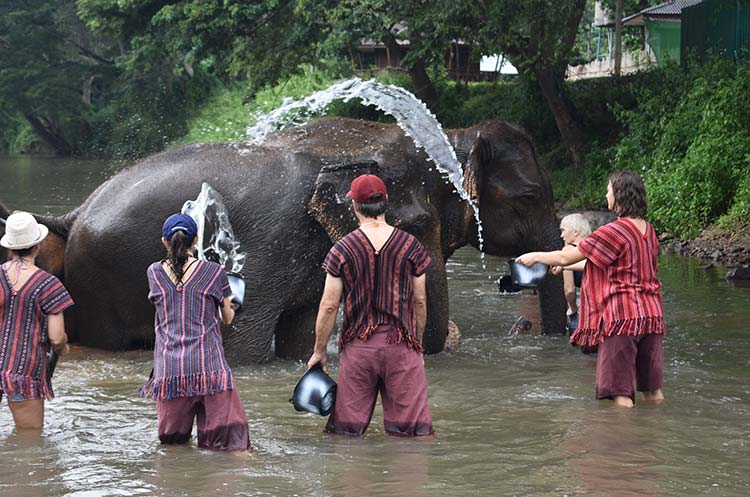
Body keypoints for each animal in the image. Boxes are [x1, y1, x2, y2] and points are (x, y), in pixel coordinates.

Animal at [0, 117, 564, 362]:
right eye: (531, 197)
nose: (530, 329)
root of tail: (75, 212)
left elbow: (301, 334)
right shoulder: (267, 245)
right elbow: (245, 349)